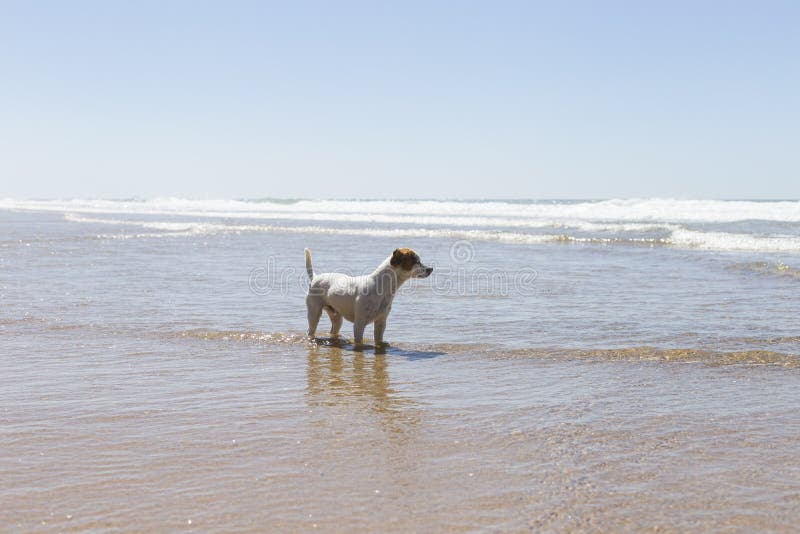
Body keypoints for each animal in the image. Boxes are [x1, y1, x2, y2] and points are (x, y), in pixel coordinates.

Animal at [304, 248, 432, 348]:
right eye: (416, 261)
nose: (431, 269)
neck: (382, 287)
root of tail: (315, 277)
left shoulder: (381, 322)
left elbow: (378, 340)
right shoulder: (359, 324)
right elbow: (359, 342)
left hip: (337, 317)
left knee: (333, 330)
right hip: (314, 313)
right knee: (310, 331)